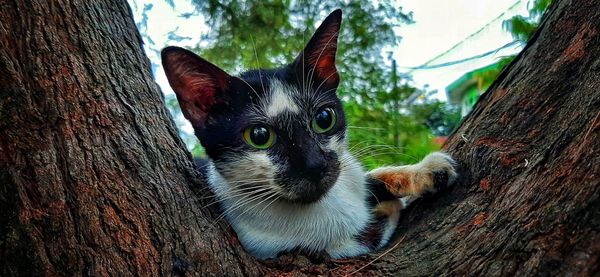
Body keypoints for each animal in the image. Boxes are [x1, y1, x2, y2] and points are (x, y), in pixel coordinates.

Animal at [162, 8, 458, 258]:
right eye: (259, 136)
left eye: (324, 119)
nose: (314, 164)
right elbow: (371, 232)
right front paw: (390, 206)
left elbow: (371, 176)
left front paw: (425, 171)